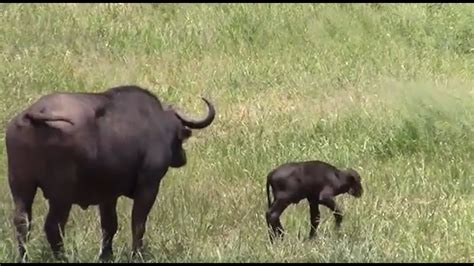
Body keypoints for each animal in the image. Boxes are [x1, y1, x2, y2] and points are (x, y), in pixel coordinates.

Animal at [5, 85, 217, 262]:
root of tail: (36, 113)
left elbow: (109, 225)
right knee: (53, 226)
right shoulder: (149, 186)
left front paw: (106, 255)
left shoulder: (107, 195)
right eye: (180, 138)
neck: (156, 123)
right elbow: (138, 223)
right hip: (61, 195)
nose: (182, 158)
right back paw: (62, 258)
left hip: (21, 186)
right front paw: (137, 254)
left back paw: (24, 257)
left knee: (22, 222)